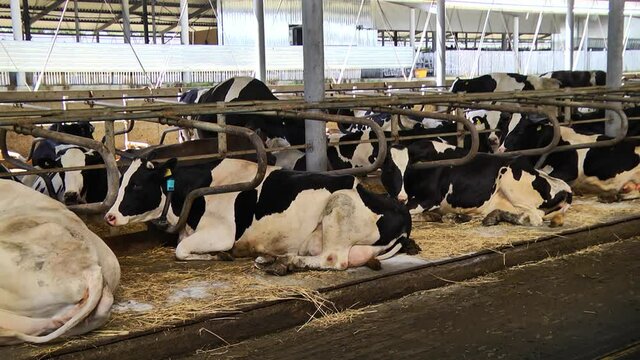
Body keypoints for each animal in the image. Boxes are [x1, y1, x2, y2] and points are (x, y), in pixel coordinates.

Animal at [103, 156, 418, 274]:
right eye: (122, 180)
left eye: (137, 184)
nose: (110, 216)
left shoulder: (222, 232)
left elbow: (180, 251)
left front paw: (218, 255)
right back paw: (271, 258)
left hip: (339, 205)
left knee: (333, 259)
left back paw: (288, 261)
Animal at [382, 139, 572, 226]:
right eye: (389, 168)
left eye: (408, 169)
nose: (401, 196)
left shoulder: (430, 198)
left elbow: (407, 212)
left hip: (509, 180)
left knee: (535, 216)